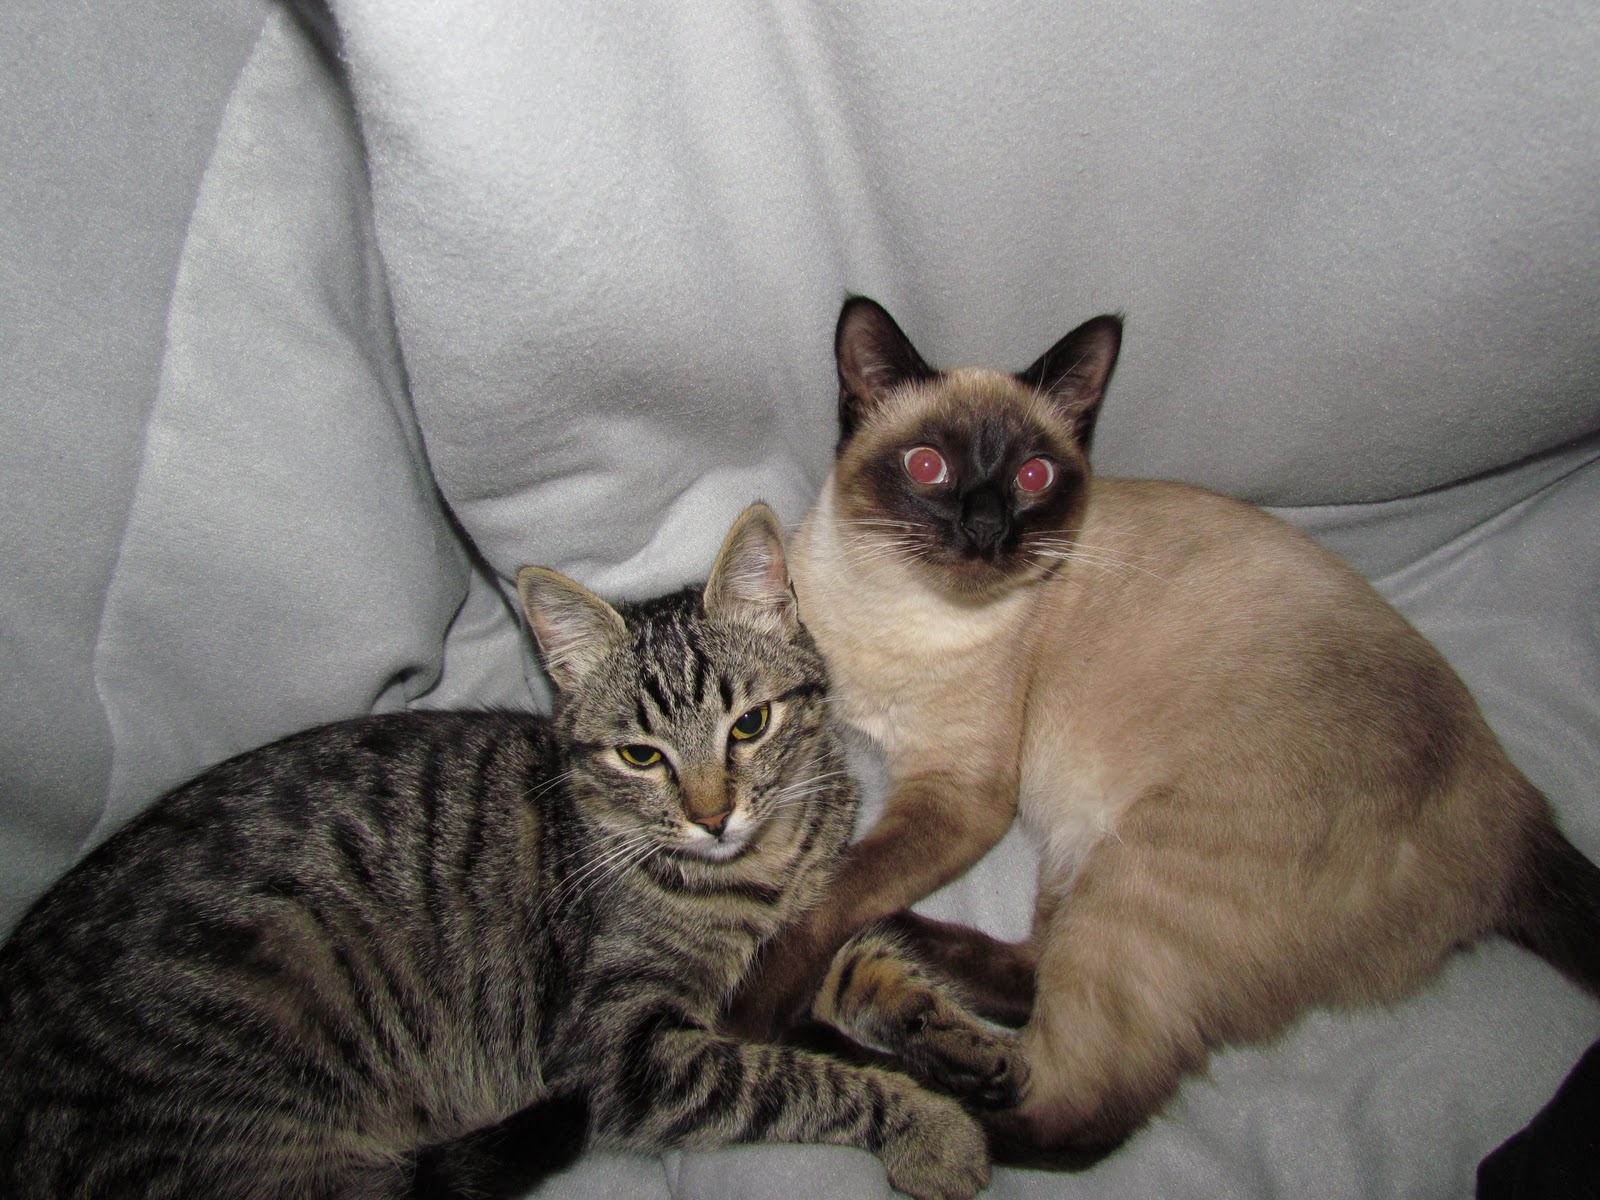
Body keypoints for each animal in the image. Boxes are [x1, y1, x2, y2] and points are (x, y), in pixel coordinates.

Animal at [0, 502, 1023, 1200]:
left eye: (751, 725)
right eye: (641, 756)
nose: (712, 816)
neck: (758, 868)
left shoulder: (806, 919)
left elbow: (871, 965)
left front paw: (969, 1041)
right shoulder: (624, 1057)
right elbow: (794, 1077)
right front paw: (928, 1126)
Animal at [727, 297, 1600, 1165]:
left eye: (1034, 478)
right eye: (928, 467)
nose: (986, 529)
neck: (894, 609)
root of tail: (1521, 813)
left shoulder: (960, 796)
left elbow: (832, 890)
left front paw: (754, 1000)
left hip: (1137, 881)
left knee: (1076, 1115)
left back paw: (864, 1050)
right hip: (1077, 845)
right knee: (1032, 978)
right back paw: (901, 949)